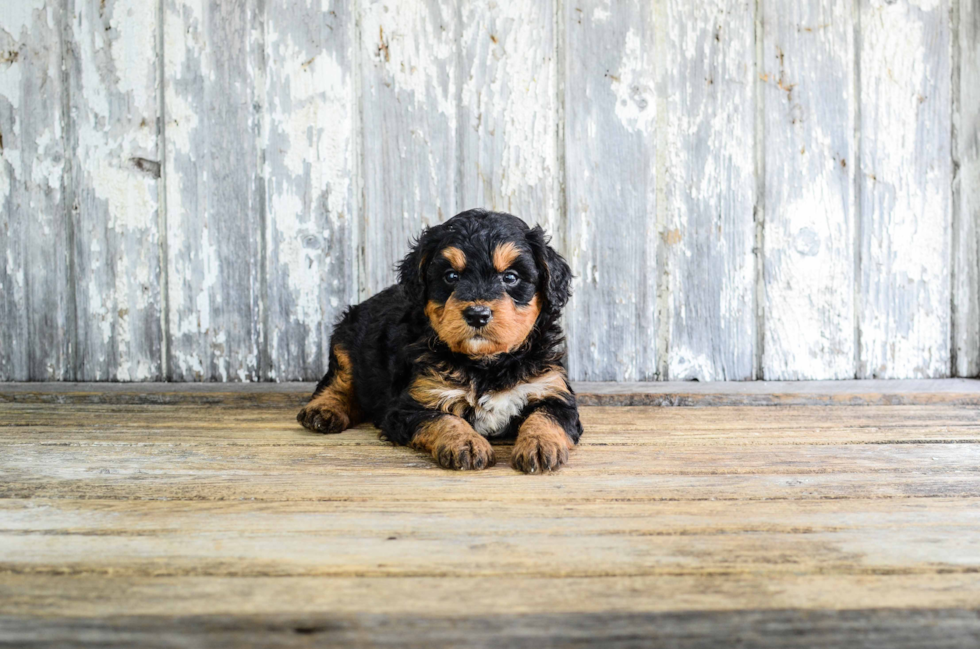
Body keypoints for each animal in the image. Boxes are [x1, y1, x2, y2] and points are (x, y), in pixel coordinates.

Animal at [292, 208, 580, 470]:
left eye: (510, 277)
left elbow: (545, 416)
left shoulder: (550, 388)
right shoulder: (415, 401)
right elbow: (444, 419)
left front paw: (540, 445)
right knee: (339, 380)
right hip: (347, 340)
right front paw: (466, 444)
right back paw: (324, 410)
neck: (486, 365)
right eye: (451, 276)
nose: (477, 314)